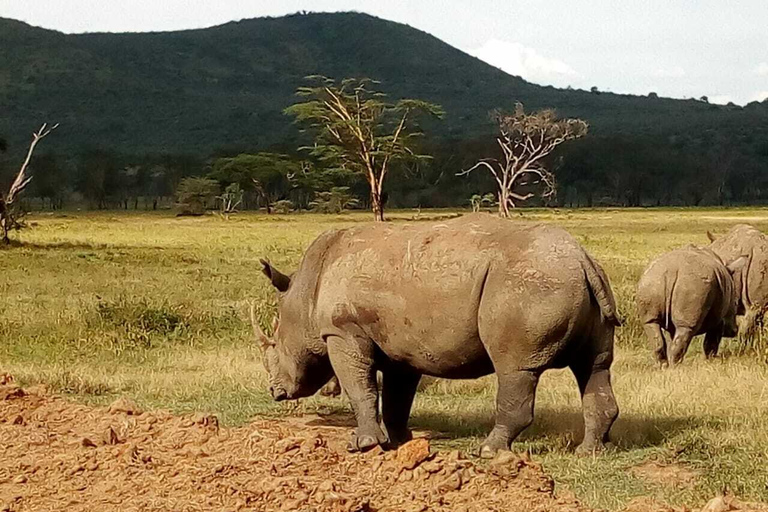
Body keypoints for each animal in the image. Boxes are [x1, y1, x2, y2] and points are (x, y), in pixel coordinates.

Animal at [255, 212, 620, 456]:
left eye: (274, 343)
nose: (275, 391)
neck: (303, 295)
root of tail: (581, 258)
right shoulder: (400, 347)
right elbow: (397, 397)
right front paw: (401, 443)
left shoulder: (341, 331)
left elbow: (360, 388)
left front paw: (363, 445)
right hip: (574, 280)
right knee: (594, 367)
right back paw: (589, 452)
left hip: (527, 285)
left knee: (515, 368)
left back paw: (487, 453)